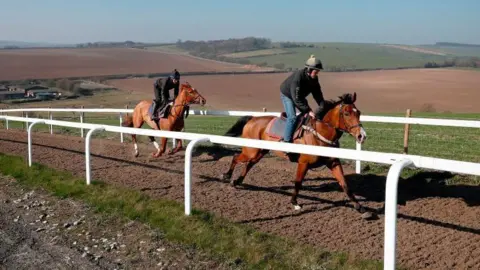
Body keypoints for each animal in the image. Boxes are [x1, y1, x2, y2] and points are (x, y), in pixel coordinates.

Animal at [221, 92, 372, 217]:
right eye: (346, 113)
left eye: (358, 112)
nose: (362, 136)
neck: (318, 134)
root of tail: (252, 119)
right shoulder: (303, 163)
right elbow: (298, 182)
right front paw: (295, 203)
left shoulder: (333, 162)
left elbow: (345, 184)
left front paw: (360, 207)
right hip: (251, 150)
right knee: (236, 158)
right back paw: (227, 175)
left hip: (260, 152)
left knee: (249, 164)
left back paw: (237, 181)